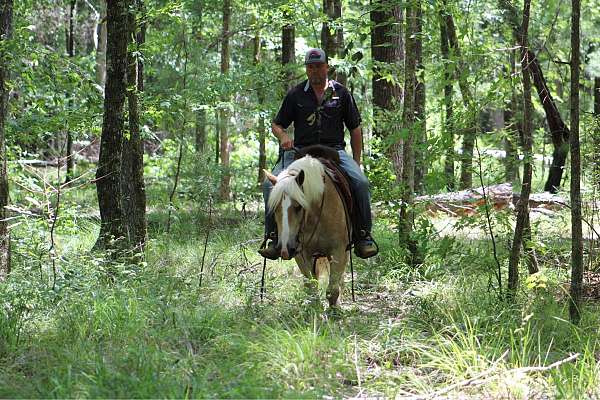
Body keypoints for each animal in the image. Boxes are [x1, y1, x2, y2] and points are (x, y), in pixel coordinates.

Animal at [264, 154, 352, 306]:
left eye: (299, 206)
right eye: (275, 208)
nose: (285, 250)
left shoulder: (339, 251)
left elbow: (332, 290)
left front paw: (334, 309)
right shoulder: (301, 254)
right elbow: (311, 287)